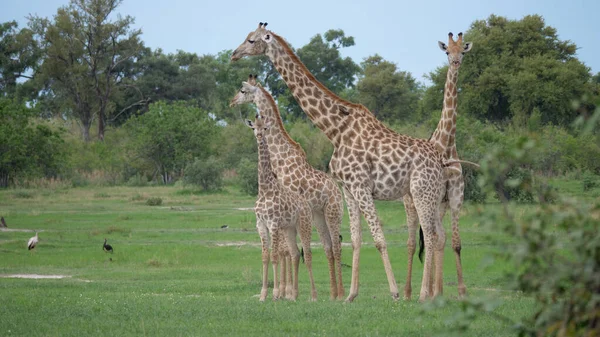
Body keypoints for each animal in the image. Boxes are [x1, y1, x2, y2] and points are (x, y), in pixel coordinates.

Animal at [244, 114, 314, 300]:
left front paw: (275, 294)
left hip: (304, 225)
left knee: (308, 254)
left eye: (265, 128)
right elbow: (265, 256)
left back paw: (314, 296)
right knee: (295, 253)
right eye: (254, 127)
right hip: (290, 229)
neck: (264, 189)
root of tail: (306, 205)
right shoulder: (260, 224)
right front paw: (263, 295)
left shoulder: (273, 224)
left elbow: (274, 256)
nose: (259, 136)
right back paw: (294, 295)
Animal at [404, 32, 474, 300]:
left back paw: (436, 290)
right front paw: (429, 291)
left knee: (438, 237)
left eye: (463, 51)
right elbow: (431, 239)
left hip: (437, 206)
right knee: (412, 242)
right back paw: (408, 292)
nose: (455, 63)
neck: (446, 145)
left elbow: (454, 242)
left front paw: (459, 291)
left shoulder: (455, 197)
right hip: (410, 204)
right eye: (446, 52)